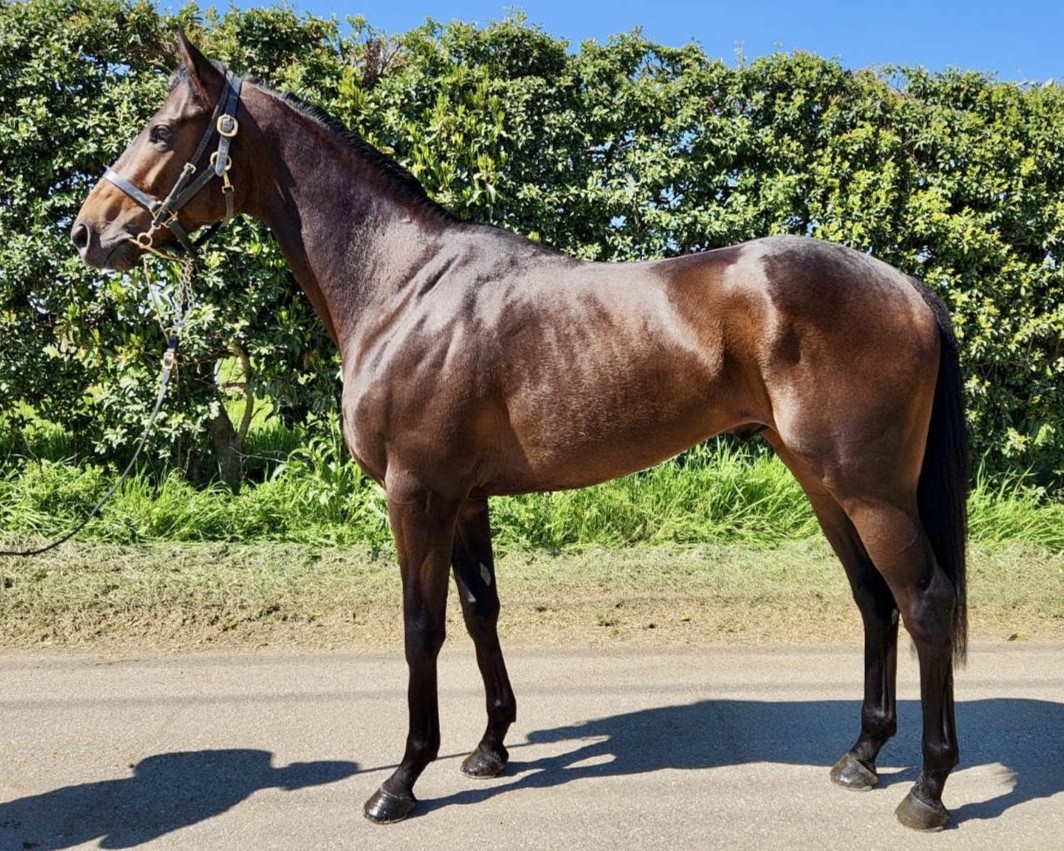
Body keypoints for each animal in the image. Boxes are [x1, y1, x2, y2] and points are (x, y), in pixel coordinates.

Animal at [71, 33, 969, 831]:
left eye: (161, 129)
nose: (87, 232)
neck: (403, 286)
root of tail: (909, 287)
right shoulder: (464, 498)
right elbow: (481, 612)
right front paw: (490, 746)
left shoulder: (416, 495)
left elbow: (421, 628)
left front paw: (401, 780)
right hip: (823, 482)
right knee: (874, 600)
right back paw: (861, 755)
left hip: (868, 490)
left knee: (923, 602)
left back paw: (926, 790)